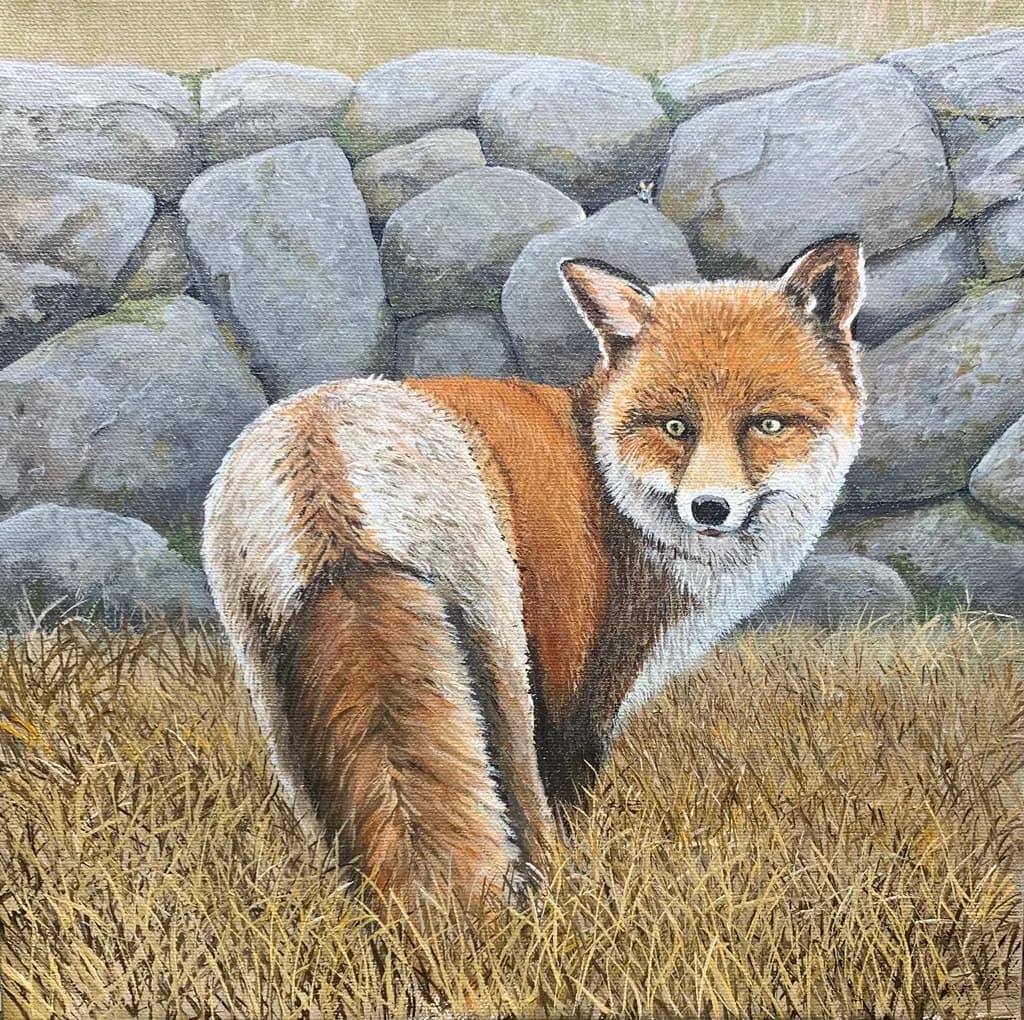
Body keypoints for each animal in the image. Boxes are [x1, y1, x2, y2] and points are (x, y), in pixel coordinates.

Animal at [202, 236, 866, 918]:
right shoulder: (579, 690)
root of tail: (325, 456)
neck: (605, 480)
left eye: (767, 424)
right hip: (498, 648)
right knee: (519, 790)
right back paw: (558, 886)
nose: (709, 508)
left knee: (317, 805)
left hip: (269, 676)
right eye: (675, 426)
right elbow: (567, 790)